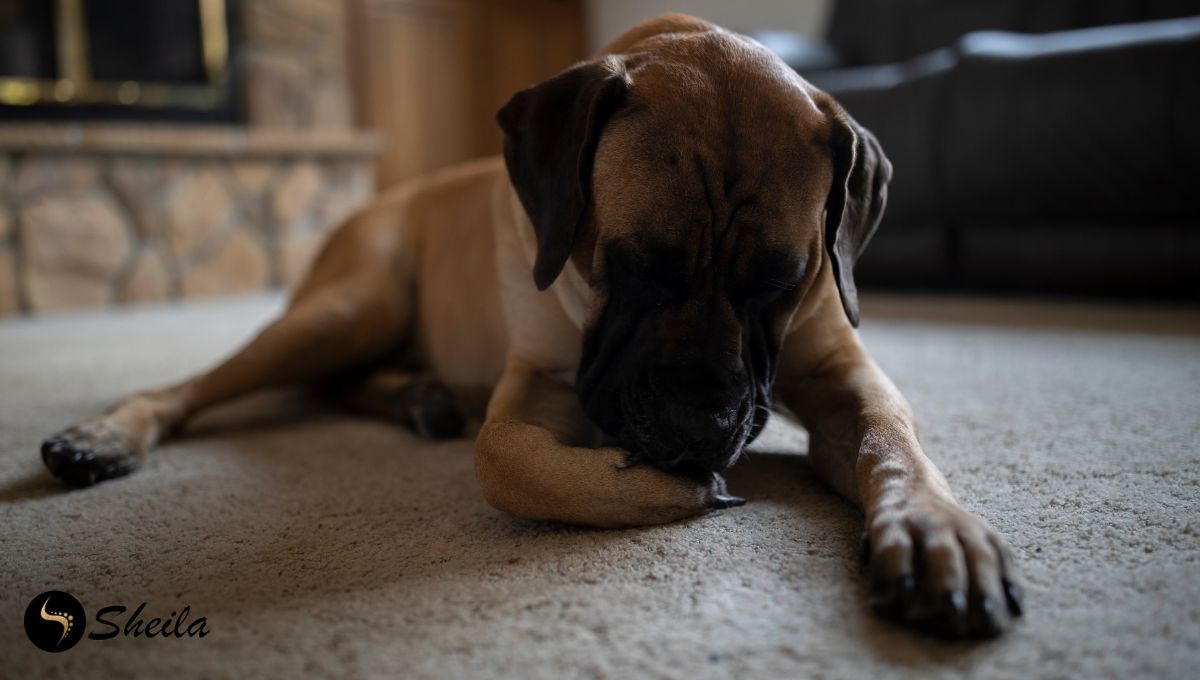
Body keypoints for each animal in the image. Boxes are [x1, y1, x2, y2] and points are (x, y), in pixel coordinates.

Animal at [44, 14, 1022, 638]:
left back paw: (420, 397)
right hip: (350, 307)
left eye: (781, 280)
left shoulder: (843, 373)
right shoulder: (538, 385)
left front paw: (936, 527)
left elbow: (890, 440)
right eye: (629, 263)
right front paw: (675, 488)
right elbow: (504, 459)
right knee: (199, 385)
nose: (700, 425)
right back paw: (106, 434)